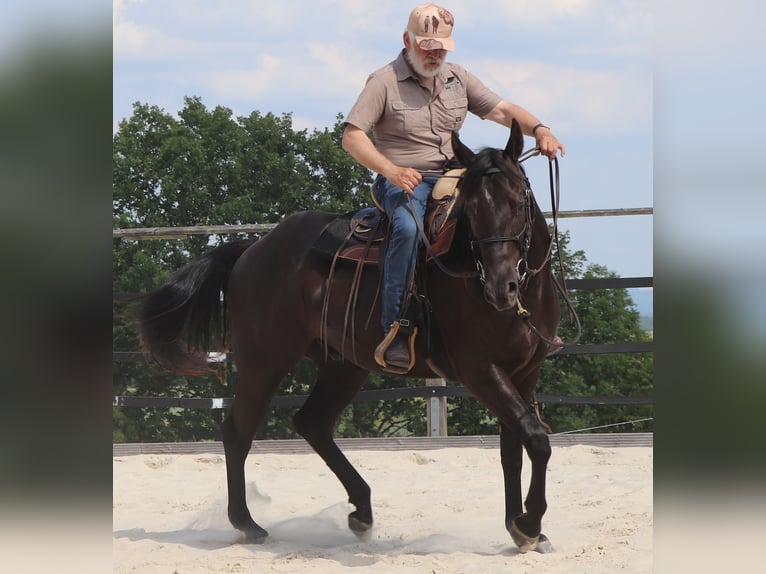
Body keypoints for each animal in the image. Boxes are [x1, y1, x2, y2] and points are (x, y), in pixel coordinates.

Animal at [138, 118, 561, 553]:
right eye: (472, 211)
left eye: (518, 203)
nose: (499, 288)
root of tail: (253, 247)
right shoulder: (479, 370)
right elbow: (536, 439)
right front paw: (529, 523)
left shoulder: (523, 372)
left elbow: (514, 448)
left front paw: (518, 525)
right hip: (264, 362)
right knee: (238, 432)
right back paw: (247, 523)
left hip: (342, 365)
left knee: (312, 423)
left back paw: (361, 510)